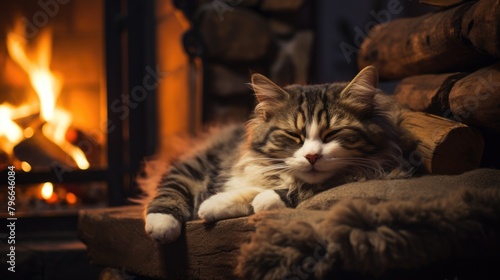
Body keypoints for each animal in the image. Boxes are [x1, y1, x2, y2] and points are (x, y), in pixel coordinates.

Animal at [144, 65, 418, 243]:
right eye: (294, 135)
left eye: (332, 134)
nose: (312, 157)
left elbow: (297, 188)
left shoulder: (381, 168)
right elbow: (172, 187)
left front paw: (223, 203)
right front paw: (162, 223)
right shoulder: (197, 162)